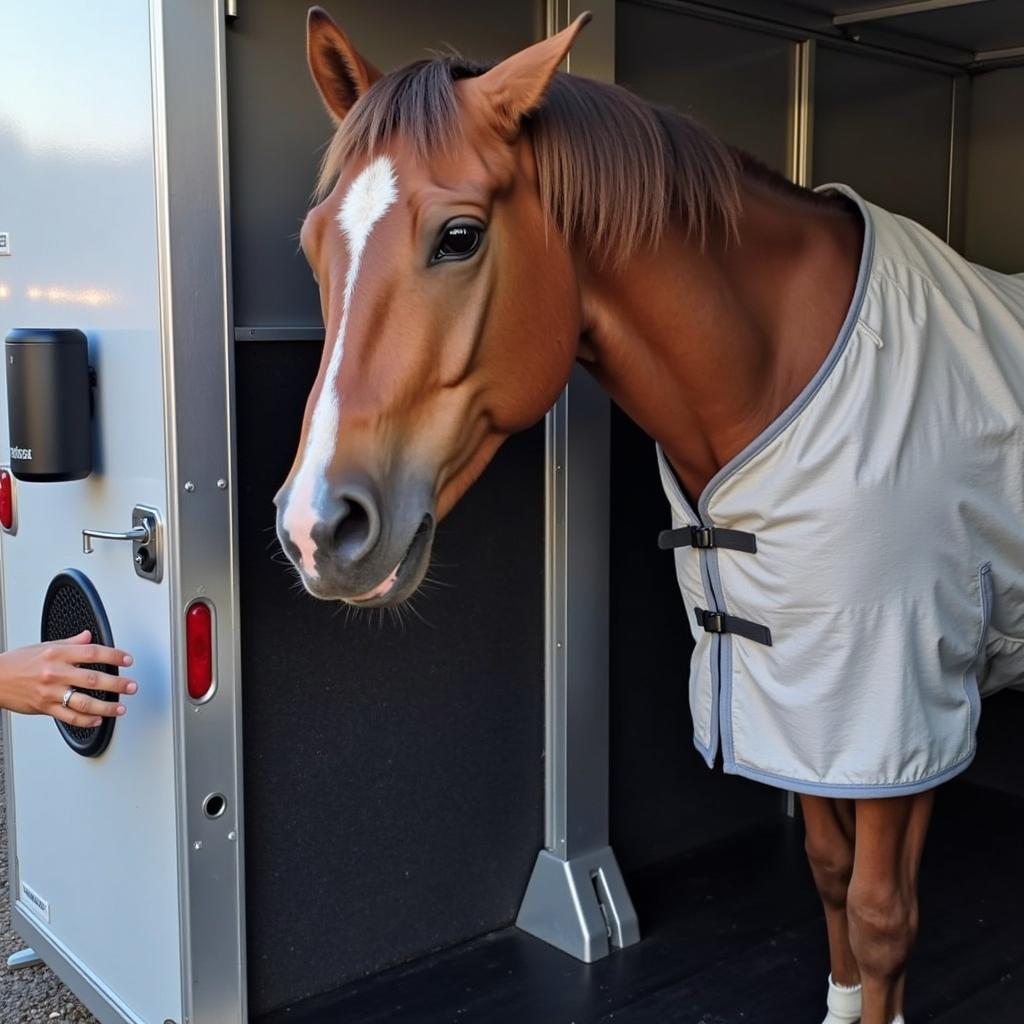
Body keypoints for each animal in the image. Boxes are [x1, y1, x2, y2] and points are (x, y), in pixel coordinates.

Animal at [274, 8, 1024, 1024]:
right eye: (316, 243)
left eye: (459, 236)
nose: (316, 527)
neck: (789, 366)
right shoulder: (804, 696)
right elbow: (831, 871)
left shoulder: (907, 693)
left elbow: (883, 910)